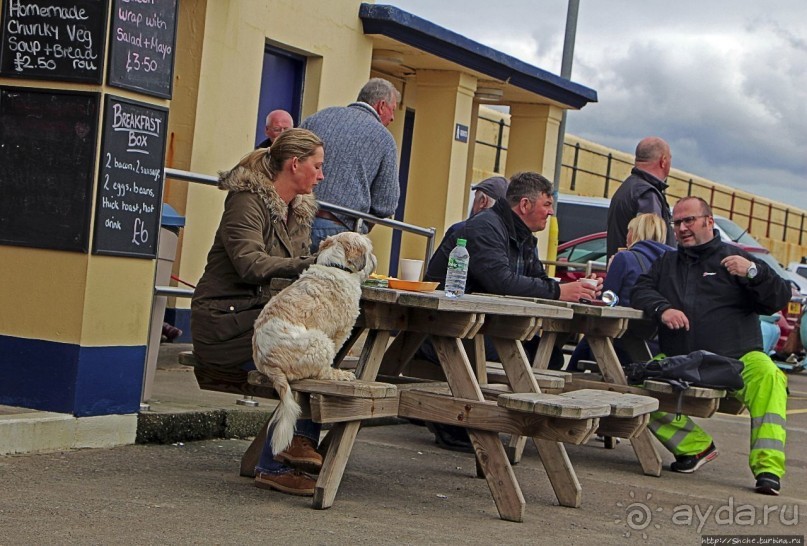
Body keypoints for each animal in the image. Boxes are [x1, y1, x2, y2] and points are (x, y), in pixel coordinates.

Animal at [252, 231, 378, 454]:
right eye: (369, 250)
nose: (376, 259)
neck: (336, 266)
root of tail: (268, 364)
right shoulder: (341, 331)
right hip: (320, 342)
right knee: (322, 371)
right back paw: (339, 374)